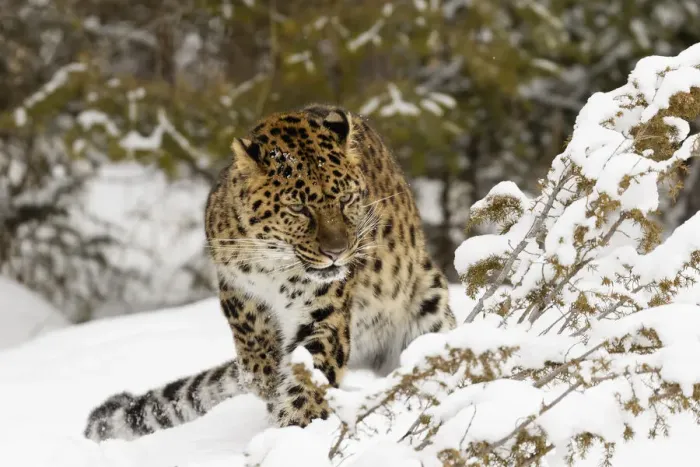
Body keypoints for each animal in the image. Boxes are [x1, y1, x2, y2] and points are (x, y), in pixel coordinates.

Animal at [83, 103, 456, 442]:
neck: (274, 263)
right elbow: (250, 336)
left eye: (347, 200)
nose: (337, 252)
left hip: (429, 301)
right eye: (299, 207)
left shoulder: (325, 311)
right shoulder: (232, 283)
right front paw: (264, 379)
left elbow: (310, 371)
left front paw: (295, 426)